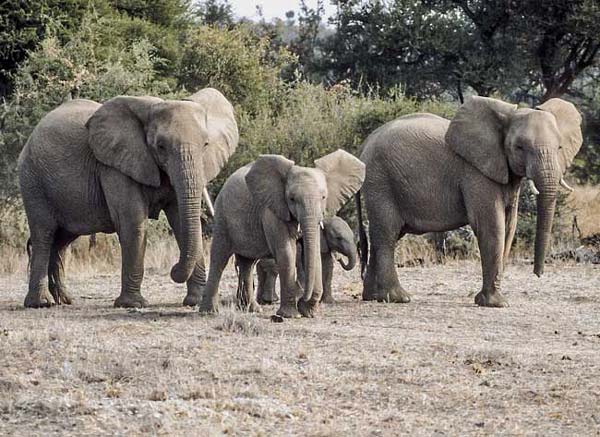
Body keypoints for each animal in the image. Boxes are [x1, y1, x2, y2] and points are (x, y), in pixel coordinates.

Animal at [18, 87, 239, 306]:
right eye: (160, 146)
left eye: (206, 144)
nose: (173, 269)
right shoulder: (114, 166)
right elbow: (133, 222)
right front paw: (133, 304)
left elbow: (179, 222)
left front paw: (195, 301)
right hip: (33, 181)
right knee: (44, 234)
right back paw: (41, 303)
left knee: (62, 240)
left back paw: (65, 300)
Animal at [200, 150, 366, 316]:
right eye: (291, 199)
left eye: (324, 197)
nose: (303, 300)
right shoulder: (272, 210)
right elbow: (286, 252)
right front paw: (291, 315)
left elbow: (313, 253)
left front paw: (308, 312)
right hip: (223, 216)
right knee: (219, 258)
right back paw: (209, 311)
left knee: (247, 263)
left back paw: (253, 309)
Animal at [356, 96, 580, 306]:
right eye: (519, 147)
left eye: (560, 148)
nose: (538, 274)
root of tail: (364, 145)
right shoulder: (476, 173)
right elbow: (492, 226)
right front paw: (496, 303)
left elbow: (509, 226)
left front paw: (494, 300)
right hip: (381, 180)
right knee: (387, 233)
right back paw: (397, 297)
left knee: (384, 234)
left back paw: (373, 297)